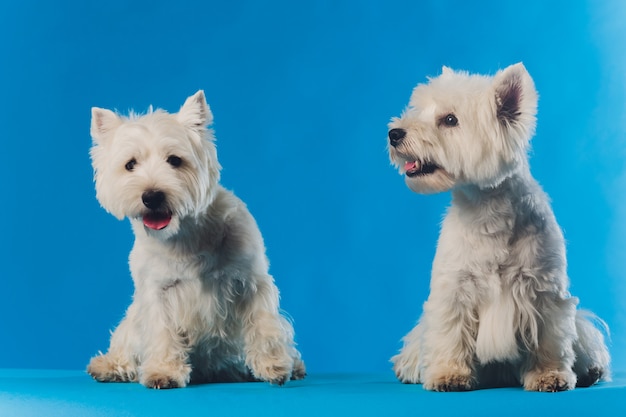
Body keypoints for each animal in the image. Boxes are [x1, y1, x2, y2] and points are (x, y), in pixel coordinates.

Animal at [86, 90, 304, 386]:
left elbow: (263, 324)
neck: (185, 237)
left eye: (175, 160)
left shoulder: (252, 282)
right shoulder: (157, 292)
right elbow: (162, 332)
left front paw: (273, 366)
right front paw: (164, 371)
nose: (151, 196)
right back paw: (108, 366)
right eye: (130, 164)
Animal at [388, 62, 608, 390]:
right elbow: (450, 332)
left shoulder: (544, 292)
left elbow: (548, 341)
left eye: (450, 120)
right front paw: (449, 374)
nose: (394, 133)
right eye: (419, 110)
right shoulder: (454, 288)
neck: (486, 211)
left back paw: (589, 369)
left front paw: (549, 375)